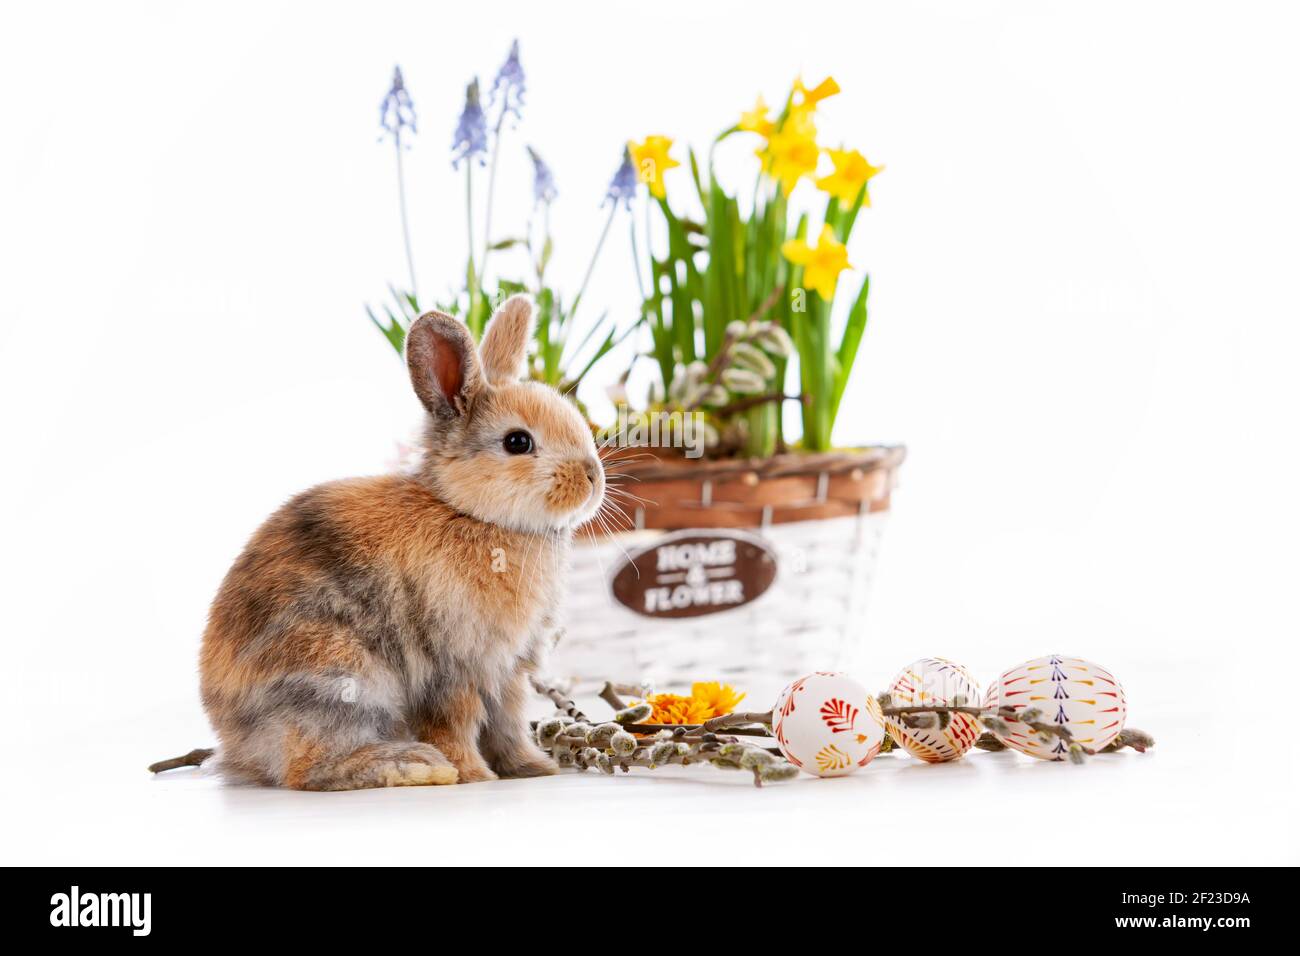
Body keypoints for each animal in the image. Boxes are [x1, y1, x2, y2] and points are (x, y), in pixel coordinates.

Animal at [197, 295, 604, 790]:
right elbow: (454, 723)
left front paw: (533, 769)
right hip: (338, 675)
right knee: (307, 769)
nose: (592, 477)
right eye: (517, 442)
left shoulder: (510, 672)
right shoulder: (454, 668)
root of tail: (235, 740)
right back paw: (415, 765)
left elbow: (507, 724)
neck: (471, 513)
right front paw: (473, 776)